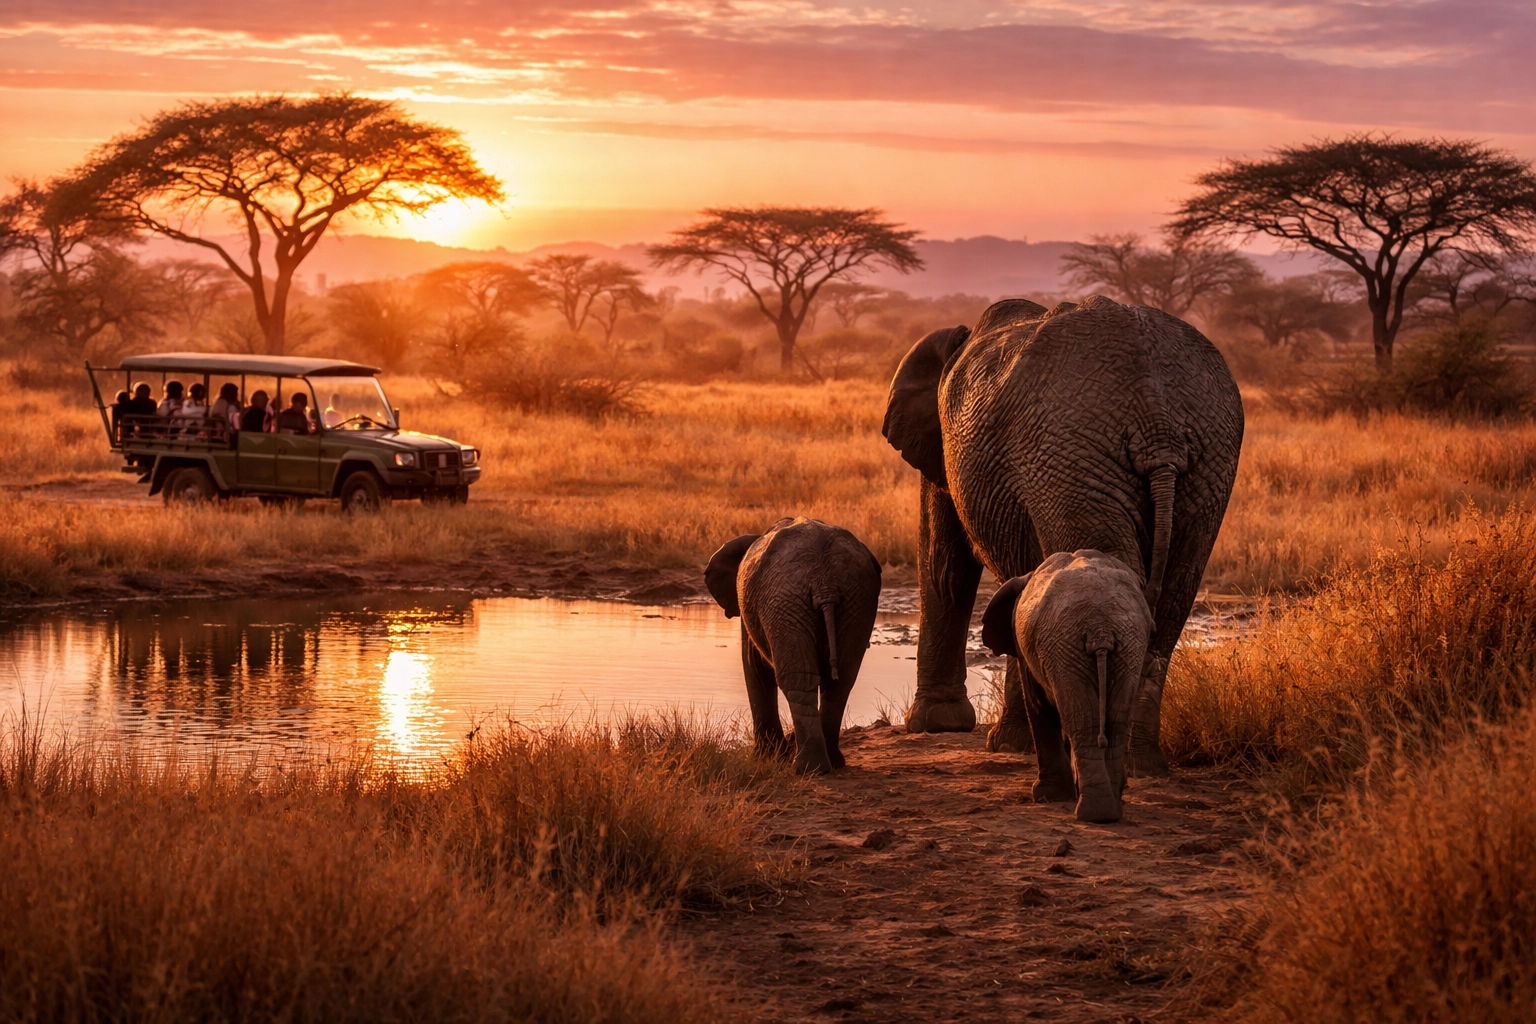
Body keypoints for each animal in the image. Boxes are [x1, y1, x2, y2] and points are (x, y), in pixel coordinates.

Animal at [705, 517, 882, 775]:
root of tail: (825, 583)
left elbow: (754, 667)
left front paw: (765, 758)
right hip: (857, 600)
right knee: (839, 682)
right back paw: (831, 764)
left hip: (785, 602)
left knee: (799, 680)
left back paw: (809, 768)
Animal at [882, 294, 1243, 777]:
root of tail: (1158, 427)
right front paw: (1008, 743)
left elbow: (944, 565)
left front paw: (943, 728)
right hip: (1202, 461)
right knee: (1172, 597)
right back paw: (1141, 767)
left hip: (1073, 456)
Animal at [981, 550, 1153, 822]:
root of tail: (1100, 628)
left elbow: (1039, 707)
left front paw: (1047, 795)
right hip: (1127, 644)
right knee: (1113, 722)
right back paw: (1108, 811)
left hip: (1066, 646)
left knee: (1081, 718)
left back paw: (1093, 814)